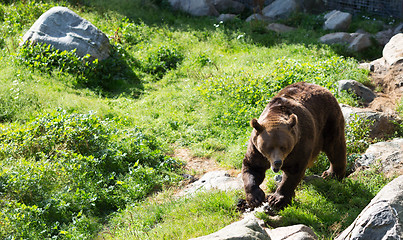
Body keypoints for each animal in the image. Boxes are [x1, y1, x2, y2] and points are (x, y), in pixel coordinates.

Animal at [243, 82, 348, 210]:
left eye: (284, 147)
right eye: (268, 147)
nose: (277, 163)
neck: (275, 115)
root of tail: (320, 87)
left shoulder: (299, 144)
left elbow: (293, 171)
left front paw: (276, 199)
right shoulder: (256, 149)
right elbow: (252, 167)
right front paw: (255, 198)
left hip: (329, 120)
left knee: (335, 146)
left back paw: (332, 174)